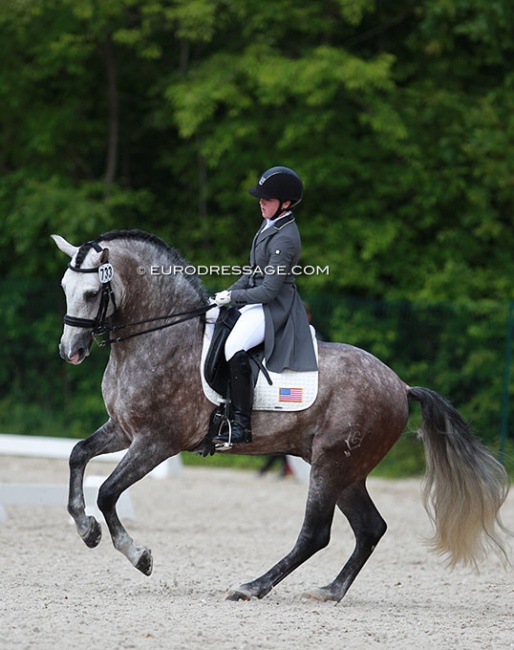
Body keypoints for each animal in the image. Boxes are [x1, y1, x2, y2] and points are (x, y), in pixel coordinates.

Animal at [51, 229, 508, 604]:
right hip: (347, 471)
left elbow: (108, 491)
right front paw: (86, 529)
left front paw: (138, 556)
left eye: (91, 293)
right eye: (65, 288)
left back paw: (252, 587)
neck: (161, 336)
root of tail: (400, 386)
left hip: (331, 465)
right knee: (370, 528)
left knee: (316, 534)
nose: (70, 352)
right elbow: (77, 455)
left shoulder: (156, 442)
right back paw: (329, 591)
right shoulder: (124, 431)